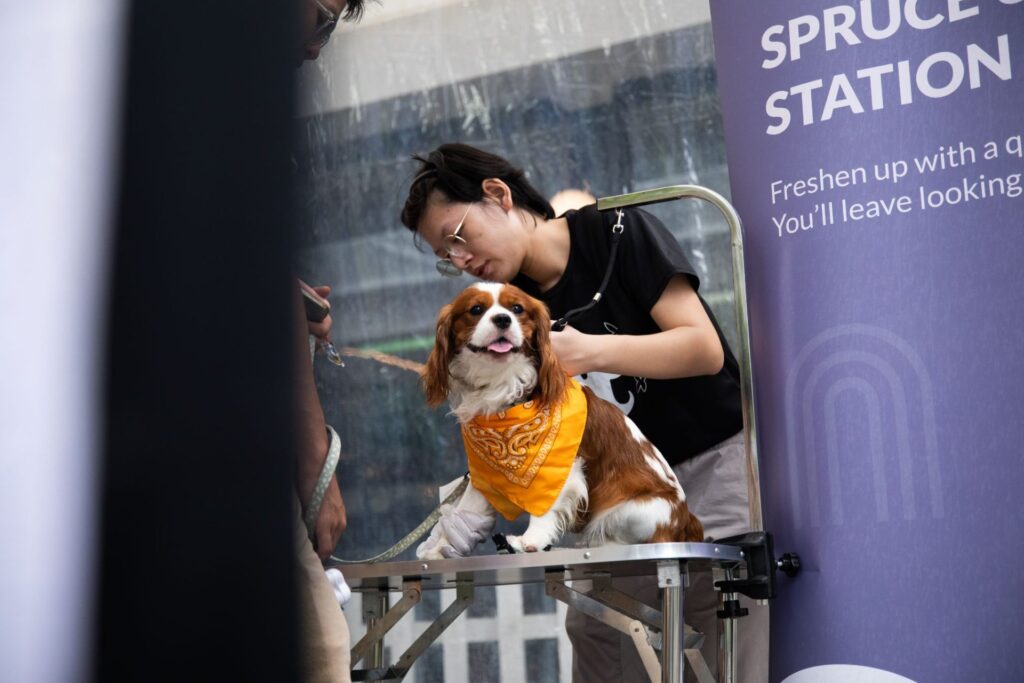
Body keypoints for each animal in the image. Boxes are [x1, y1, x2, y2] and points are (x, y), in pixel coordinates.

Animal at [415, 280, 704, 557]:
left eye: (517, 309)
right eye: (476, 309)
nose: (503, 319)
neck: (504, 388)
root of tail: (687, 521)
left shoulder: (558, 467)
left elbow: (545, 505)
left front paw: (530, 541)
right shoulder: (485, 469)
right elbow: (470, 503)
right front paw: (444, 544)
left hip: (633, 507)